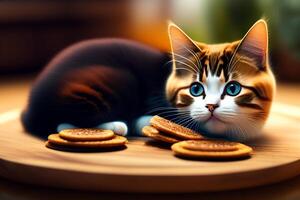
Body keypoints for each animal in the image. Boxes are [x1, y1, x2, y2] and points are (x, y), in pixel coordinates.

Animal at [20, 18, 274, 141]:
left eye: (233, 89)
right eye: (195, 89)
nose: (211, 106)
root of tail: (30, 105)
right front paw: (143, 123)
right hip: (119, 80)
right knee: (62, 121)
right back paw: (116, 125)